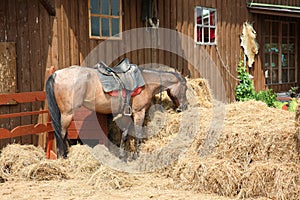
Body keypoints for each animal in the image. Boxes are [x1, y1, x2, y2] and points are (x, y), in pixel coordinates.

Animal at [45, 61, 188, 159]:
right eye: (185, 87)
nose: (184, 106)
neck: (146, 82)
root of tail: (56, 74)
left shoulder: (125, 114)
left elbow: (124, 134)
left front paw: (122, 156)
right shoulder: (139, 112)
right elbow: (138, 133)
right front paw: (137, 156)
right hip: (67, 114)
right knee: (62, 134)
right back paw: (63, 157)